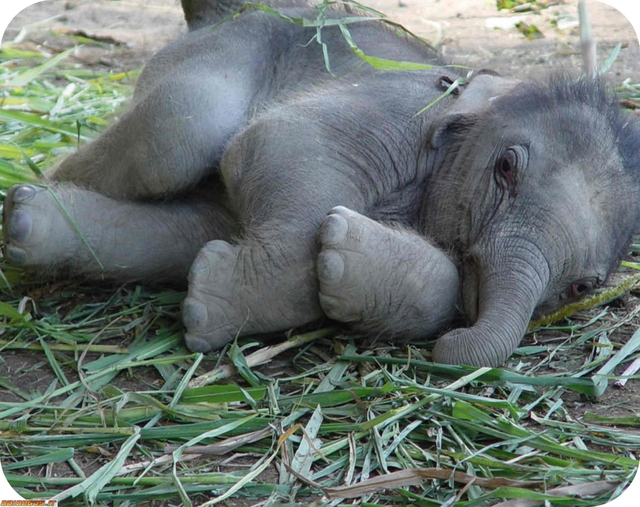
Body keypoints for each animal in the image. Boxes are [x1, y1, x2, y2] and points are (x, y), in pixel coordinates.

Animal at [1, 0, 640, 366]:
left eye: (583, 287)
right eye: (505, 167)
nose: (448, 352)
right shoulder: (396, 108)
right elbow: (279, 141)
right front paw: (210, 309)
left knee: (179, 227)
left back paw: (30, 224)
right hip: (227, 47)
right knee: (180, 130)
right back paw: (28, 203)